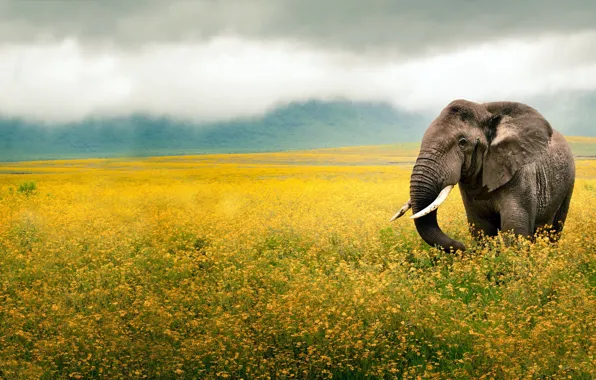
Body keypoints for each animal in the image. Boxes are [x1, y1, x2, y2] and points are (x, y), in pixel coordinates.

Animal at [388, 98, 576, 252]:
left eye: (463, 142)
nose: (463, 247)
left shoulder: (521, 174)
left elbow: (514, 229)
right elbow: (481, 228)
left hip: (569, 182)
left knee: (555, 229)